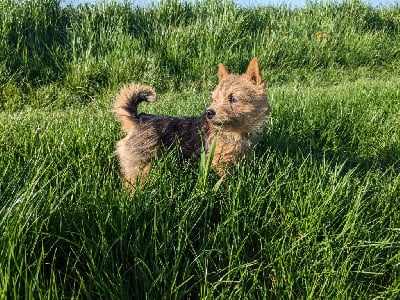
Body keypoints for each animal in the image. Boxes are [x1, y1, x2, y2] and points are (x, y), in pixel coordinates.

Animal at [112, 56, 270, 185]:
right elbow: (225, 179)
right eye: (215, 99)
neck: (236, 132)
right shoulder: (220, 163)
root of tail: (140, 120)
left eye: (233, 99)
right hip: (140, 166)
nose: (209, 112)